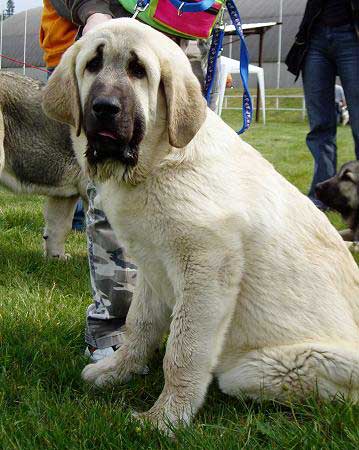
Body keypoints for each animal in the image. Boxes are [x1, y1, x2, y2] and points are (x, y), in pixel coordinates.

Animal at [43, 19, 359, 430]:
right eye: (92, 65)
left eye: (138, 71)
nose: (104, 108)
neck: (157, 162)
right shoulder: (151, 268)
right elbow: (138, 326)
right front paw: (118, 371)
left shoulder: (207, 269)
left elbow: (183, 349)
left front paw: (165, 418)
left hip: (267, 367)